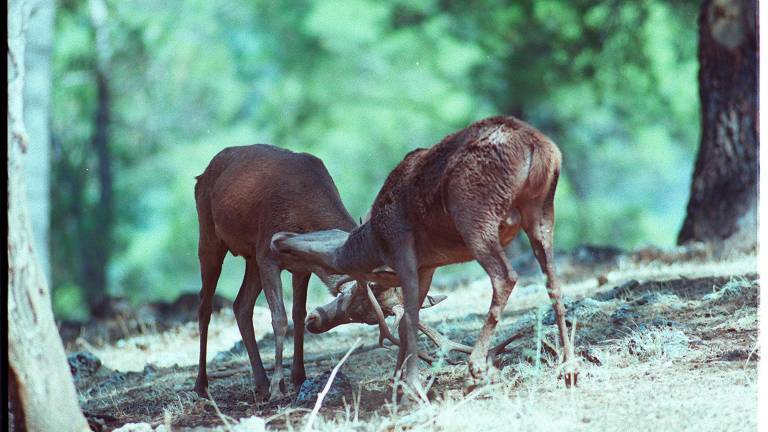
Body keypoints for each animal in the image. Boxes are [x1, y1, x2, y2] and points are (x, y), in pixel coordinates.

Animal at [270, 114, 576, 394]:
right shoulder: (428, 265)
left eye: (358, 304)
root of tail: (539, 147)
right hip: (542, 211)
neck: (374, 240)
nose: (276, 239)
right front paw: (397, 382)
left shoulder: (403, 250)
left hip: (477, 214)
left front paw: (411, 385)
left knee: (505, 276)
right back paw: (569, 368)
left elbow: (410, 319)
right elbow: (408, 318)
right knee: (554, 282)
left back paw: (476, 369)